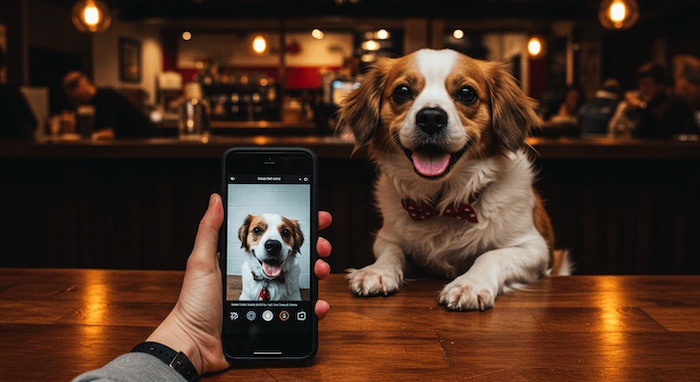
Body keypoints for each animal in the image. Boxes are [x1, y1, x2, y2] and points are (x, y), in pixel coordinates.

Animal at [336, 48, 572, 310]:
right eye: (402, 91)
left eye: (467, 94)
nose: (430, 117)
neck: (443, 203)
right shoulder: (386, 237)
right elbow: (391, 251)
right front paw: (376, 271)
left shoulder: (535, 248)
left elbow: (491, 254)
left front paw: (470, 284)